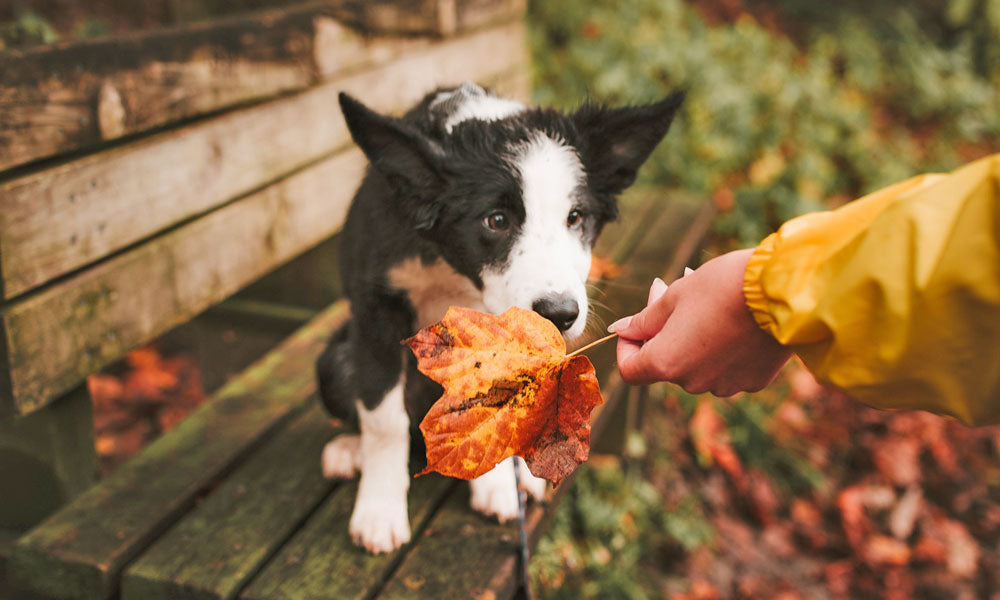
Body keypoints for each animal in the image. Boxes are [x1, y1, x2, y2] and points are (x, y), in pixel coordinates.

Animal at [316, 81, 684, 552]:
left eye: (576, 218)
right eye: (496, 220)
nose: (560, 314)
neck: (452, 265)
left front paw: (497, 487)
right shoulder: (374, 309)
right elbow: (383, 420)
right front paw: (379, 511)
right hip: (335, 360)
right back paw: (349, 449)